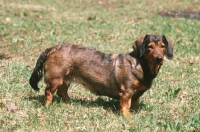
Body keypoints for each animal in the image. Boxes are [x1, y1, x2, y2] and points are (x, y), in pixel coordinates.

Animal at [28, 34, 173, 116]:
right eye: (150, 46)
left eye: (162, 46)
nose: (159, 58)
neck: (141, 65)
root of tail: (52, 48)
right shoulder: (126, 93)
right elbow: (125, 106)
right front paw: (127, 116)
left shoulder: (136, 95)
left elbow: (135, 104)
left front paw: (135, 113)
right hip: (56, 79)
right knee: (48, 92)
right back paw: (47, 105)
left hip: (65, 79)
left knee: (62, 92)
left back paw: (69, 103)